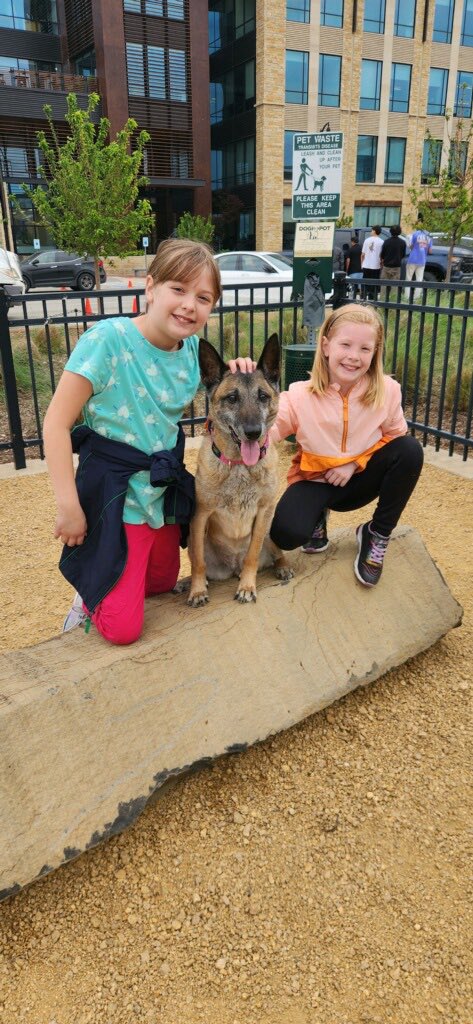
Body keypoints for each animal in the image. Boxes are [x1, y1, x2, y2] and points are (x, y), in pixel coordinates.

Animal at [187, 335, 292, 606]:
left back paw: (282, 566)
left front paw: (247, 586)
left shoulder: (263, 513)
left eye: (263, 396)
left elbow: (252, 555)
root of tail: (232, 566)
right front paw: (197, 590)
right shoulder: (200, 516)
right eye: (232, 398)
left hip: (271, 528)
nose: (253, 432)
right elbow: (198, 562)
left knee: (276, 554)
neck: (239, 467)